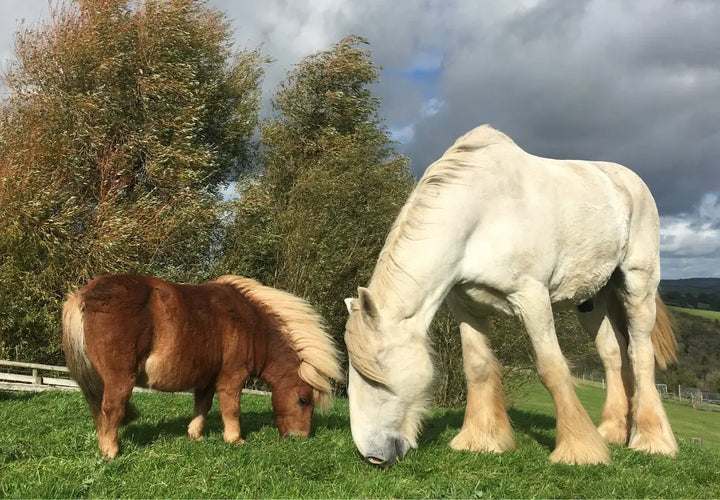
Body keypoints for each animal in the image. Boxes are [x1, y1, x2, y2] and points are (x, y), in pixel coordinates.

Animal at [62, 274, 341, 459]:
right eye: (304, 400)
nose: (301, 439)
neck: (252, 325)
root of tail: (84, 295)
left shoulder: (207, 379)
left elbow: (202, 406)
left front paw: (196, 435)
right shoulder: (232, 377)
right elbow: (232, 409)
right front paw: (235, 439)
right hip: (120, 379)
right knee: (111, 409)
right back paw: (111, 451)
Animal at [343, 124, 678, 466]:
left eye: (375, 375)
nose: (372, 456)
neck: (482, 214)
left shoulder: (532, 297)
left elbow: (551, 368)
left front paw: (579, 450)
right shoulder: (466, 306)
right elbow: (477, 368)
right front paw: (481, 441)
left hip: (639, 284)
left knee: (639, 353)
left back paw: (651, 440)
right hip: (592, 302)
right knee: (613, 354)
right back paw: (611, 431)